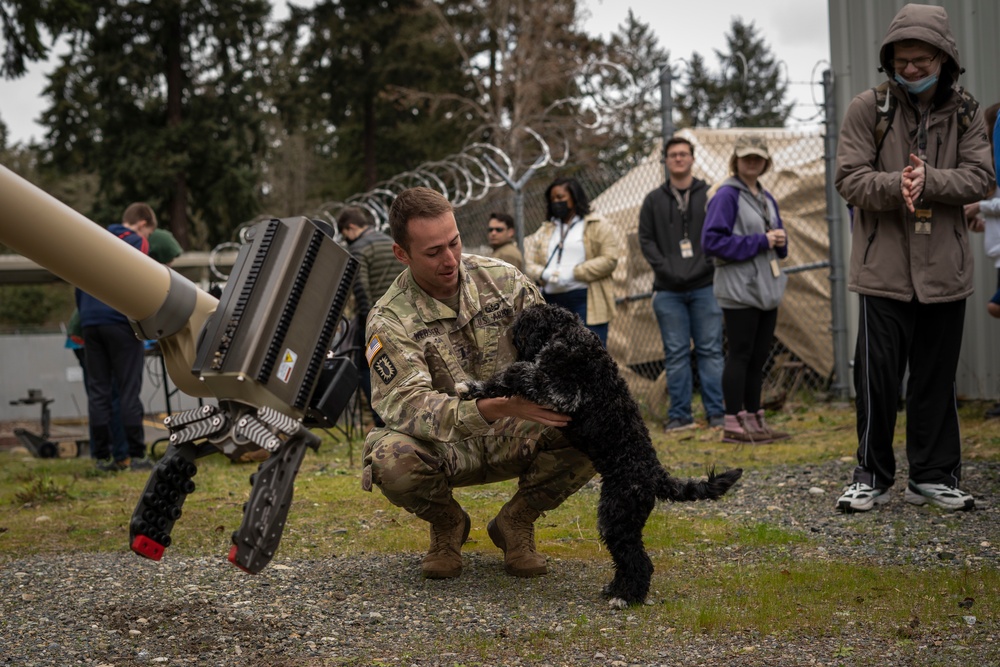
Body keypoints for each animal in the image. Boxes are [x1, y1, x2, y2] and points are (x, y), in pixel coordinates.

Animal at [460, 306, 744, 608]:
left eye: (521, 329)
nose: (512, 340)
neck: (569, 335)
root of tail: (655, 475)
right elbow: (502, 383)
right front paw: (470, 388)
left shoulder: (560, 393)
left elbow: (522, 374)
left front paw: (503, 374)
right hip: (621, 520)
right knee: (627, 559)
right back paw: (615, 589)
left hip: (616, 517)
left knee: (639, 561)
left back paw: (626, 598)